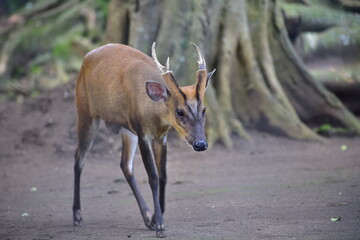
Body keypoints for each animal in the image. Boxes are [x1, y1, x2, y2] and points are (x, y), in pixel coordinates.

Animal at [71, 42, 215, 237]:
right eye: (180, 111)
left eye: (204, 110)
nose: (201, 144)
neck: (152, 113)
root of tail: (86, 58)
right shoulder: (142, 134)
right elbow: (152, 177)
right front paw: (160, 225)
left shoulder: (160, 137)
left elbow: (163, 176)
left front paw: (154, 218)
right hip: (85, 111)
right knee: (79, 158)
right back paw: (77, 216)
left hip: (126, 128)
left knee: (125, 164)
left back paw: (146, 216)